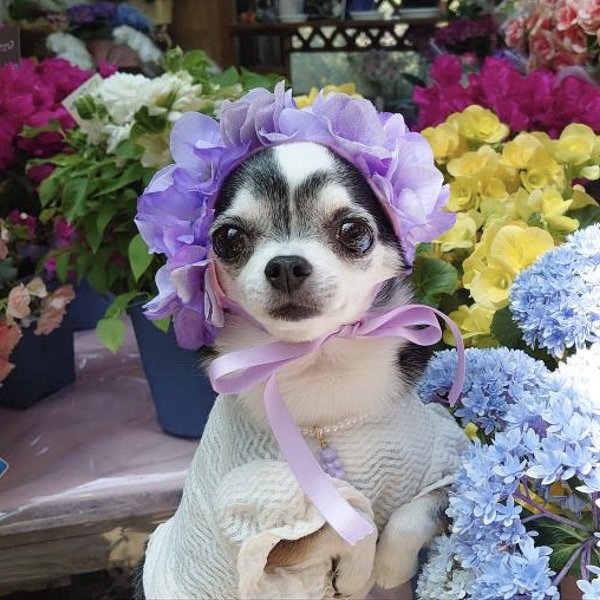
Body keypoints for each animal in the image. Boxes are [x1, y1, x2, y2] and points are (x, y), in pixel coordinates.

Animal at [134, 142, 466, 600]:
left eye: (352, 231)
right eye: (229, 238)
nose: (286, 264)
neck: (317, 360)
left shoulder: (449, 468)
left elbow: (415, 512)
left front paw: (388, 568)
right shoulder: (258, 527)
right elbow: (350, 518)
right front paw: (359, 573)